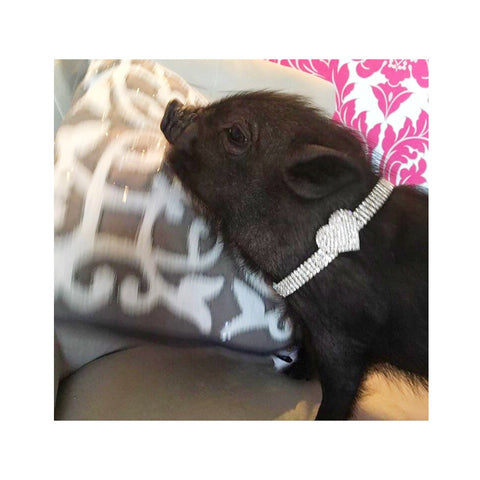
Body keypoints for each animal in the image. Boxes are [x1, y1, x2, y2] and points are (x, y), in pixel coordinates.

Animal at [161, 91, 428, 420]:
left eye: (235, 134)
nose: (173, 105)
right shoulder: (306, 323)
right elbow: (305, 348)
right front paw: (292, 373)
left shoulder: (343, 340)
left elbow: (338, 391)